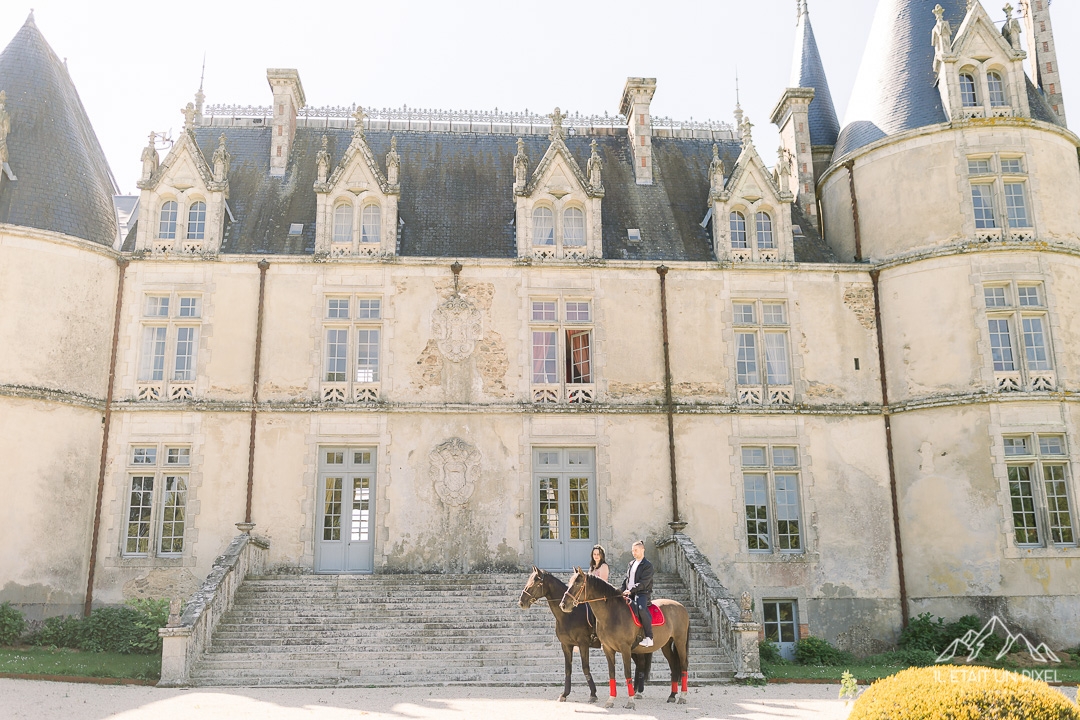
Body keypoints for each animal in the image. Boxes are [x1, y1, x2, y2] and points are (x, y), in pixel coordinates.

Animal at [520, 569, 652, 703]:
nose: (521, 601)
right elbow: (568, 669)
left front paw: (593, 694)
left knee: (640, 664)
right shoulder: (566, 645)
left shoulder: (583, 644)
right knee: (639, 665)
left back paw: (637, 692)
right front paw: (565, 694)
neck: (569, 615)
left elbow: (585, 667)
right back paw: (635, 690)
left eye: (536, 583)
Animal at [561, 561, 686, 708]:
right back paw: (672, 695)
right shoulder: (608, 649)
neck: (612, 613)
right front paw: (610, 700)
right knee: (673, 666)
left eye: (577, 584)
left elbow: (627, 673)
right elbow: (612, 674)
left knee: (683, 665)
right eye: (569, 583)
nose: (563, 605)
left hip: (680, 641)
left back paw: (682, 696)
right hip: (666, 644)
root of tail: (680, 606)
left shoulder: (625, 648)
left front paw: (630, 701)